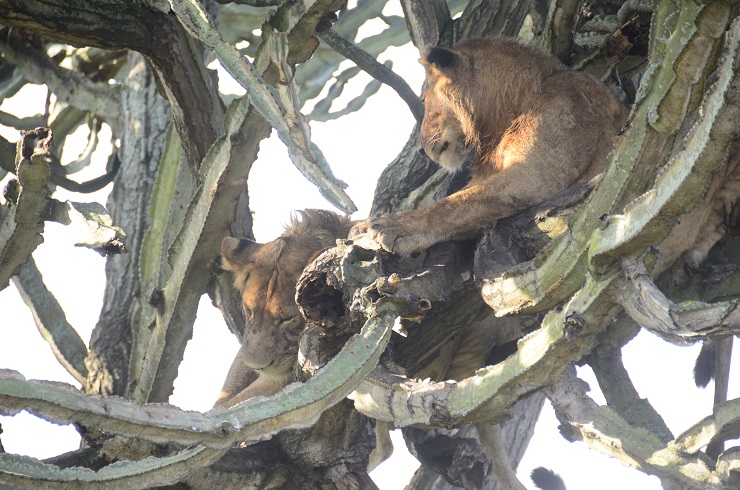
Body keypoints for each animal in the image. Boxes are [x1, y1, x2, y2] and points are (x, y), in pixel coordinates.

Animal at [350, 36, 628, 255]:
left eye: (423, 100)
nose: (420, 150)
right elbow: (460, 201)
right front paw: (363, 224)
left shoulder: (538, 173)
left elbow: (458, 204)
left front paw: (395, 227)